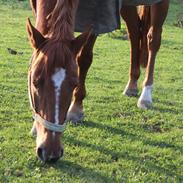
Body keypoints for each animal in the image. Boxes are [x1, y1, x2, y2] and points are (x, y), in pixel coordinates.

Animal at [27, 0, 169, 162]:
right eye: (35, 82)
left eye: (75, 84)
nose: (51, 153)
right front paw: (35, 125)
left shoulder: (96, 13)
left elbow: (84, 57)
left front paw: (76, 108)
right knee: (134, 31)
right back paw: (132, 85)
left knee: (153, 39)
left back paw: (146, 95)